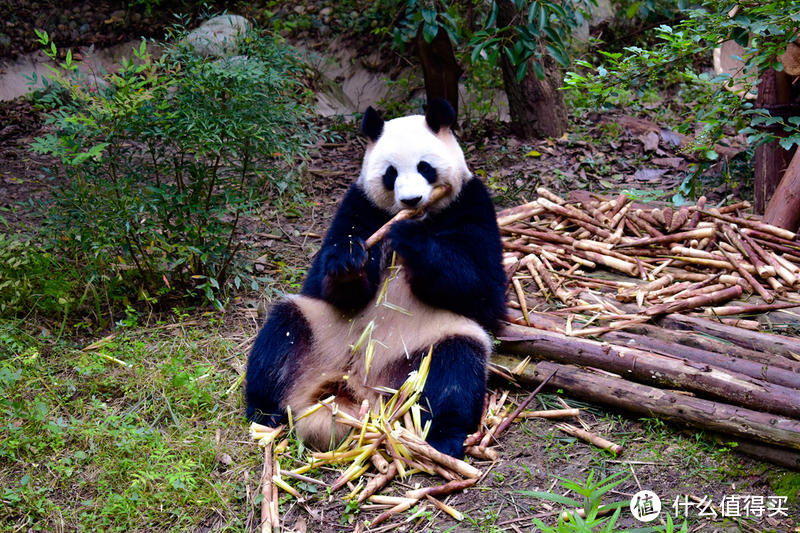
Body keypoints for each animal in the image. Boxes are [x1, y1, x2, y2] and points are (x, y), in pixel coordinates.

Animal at [245, 100, 506, 458]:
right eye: (390, 173)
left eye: (425, 167)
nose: (410, 201)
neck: (424, 216)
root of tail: (355, 390)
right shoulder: (359, 203)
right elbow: (325, 282)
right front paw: (347, 260)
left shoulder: (472, 204)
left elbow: (484, 291)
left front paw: (410, 238)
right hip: (319, 329)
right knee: (280, 337)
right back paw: (264, 412)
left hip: (421, 350)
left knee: (454, 370)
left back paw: (442, 437)